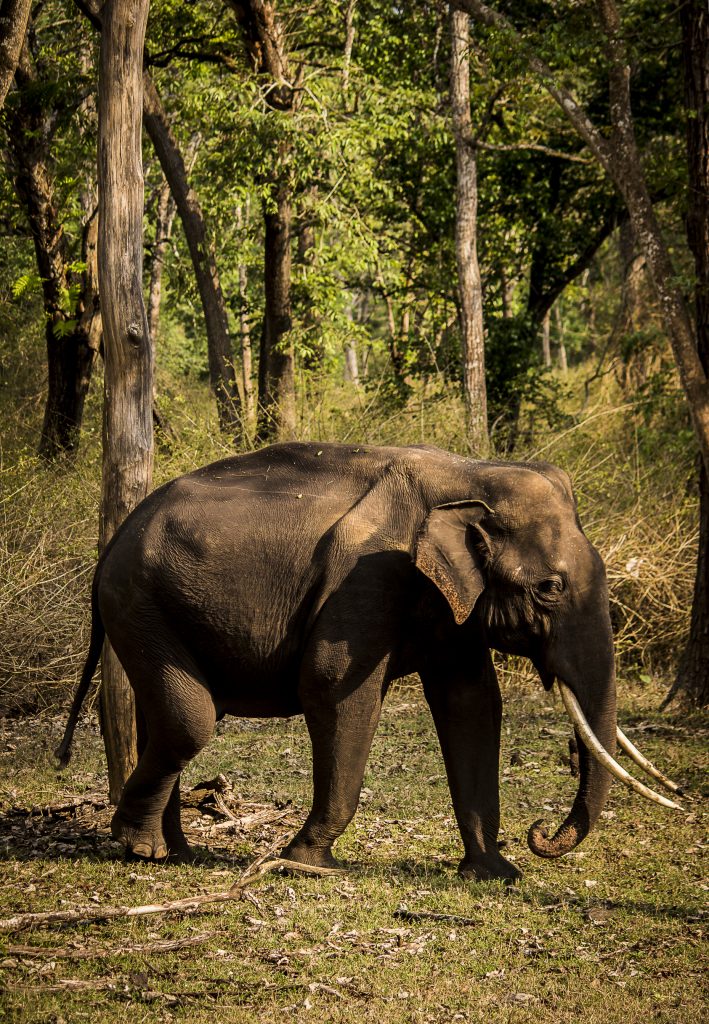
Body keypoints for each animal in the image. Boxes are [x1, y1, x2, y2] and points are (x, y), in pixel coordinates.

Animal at [56, 442, 681, 881]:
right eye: (551, 588)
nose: (540, 834)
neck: (472, 472)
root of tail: (110, 542)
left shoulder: (447, 599)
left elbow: (471, 701)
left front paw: (495, 874)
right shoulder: (367, 577)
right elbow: (334, 687)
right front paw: (307, 863)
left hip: (155, 608)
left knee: (165, 717)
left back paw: (174, 853)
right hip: (139, 602)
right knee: (190, 718)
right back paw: (138, 846)